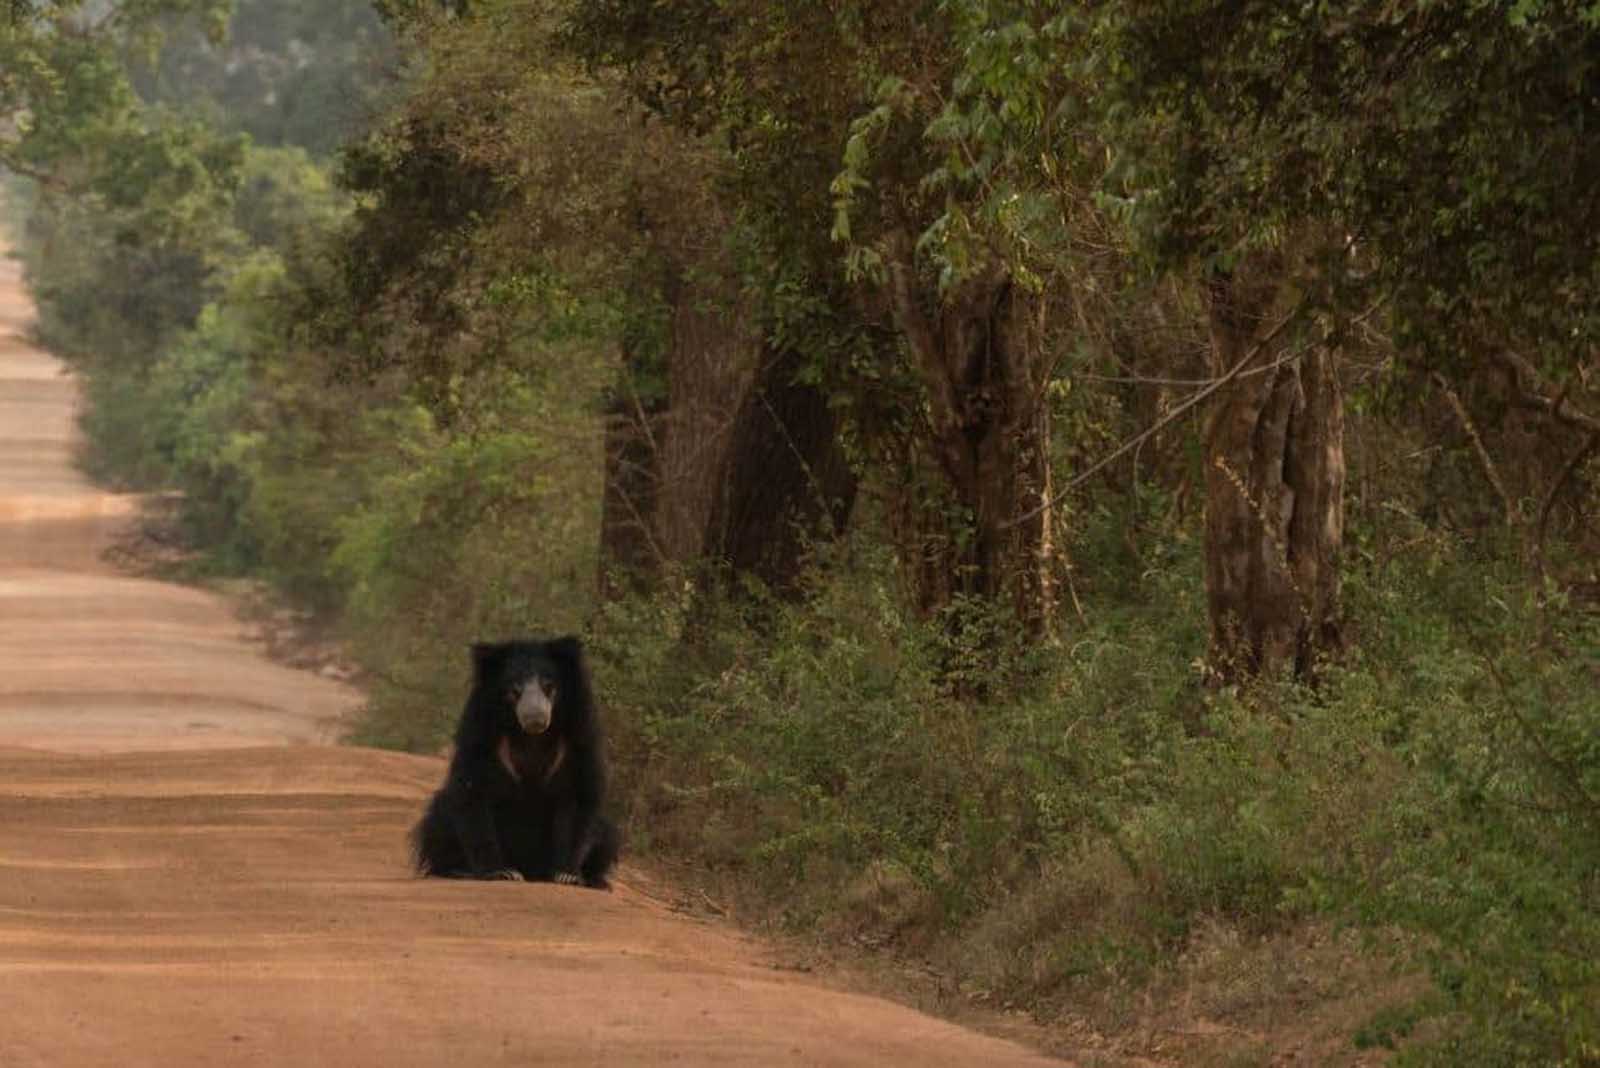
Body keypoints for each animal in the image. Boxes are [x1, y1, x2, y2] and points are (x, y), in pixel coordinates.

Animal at [412, 639, 617, 888]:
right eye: (514, 689)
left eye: (548, 685)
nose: (536, 717)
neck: (530, 736)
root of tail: (532, 871)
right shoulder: (481, 732)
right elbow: (474, 791)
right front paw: (501, 872)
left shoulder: (579, 735)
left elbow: (578, 795)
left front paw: (567, 875)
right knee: (440, 818)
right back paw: (459, 870)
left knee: (606, 834)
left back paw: (596, 881)